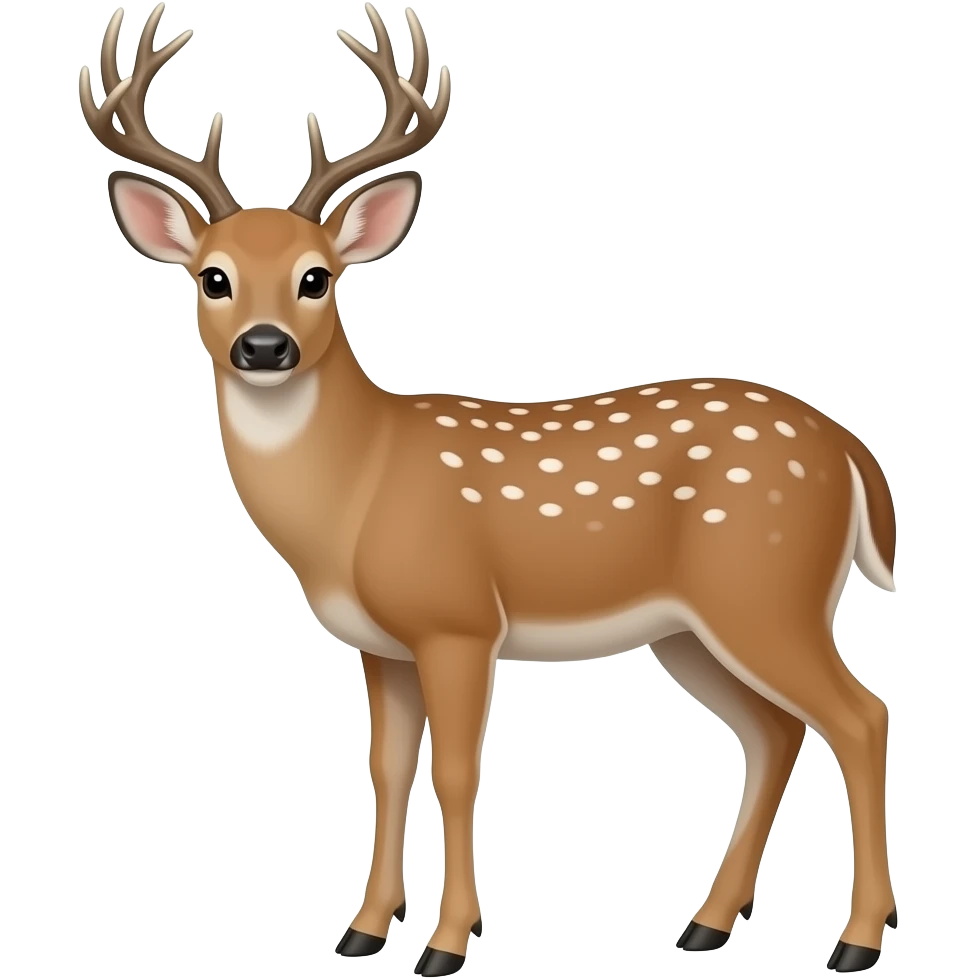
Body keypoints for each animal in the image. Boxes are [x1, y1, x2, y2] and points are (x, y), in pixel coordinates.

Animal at [77, 2, 899, 974]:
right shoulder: (381, 644)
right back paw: (707, 923)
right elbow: (388, 770)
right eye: (214, 277)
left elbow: (459, 771)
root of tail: (848, 449)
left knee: (860, 716)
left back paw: (856, 940)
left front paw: (446, 942)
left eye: (318, 276)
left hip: (766, 588)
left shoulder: (459, 619)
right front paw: (362, 930)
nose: (265, 346)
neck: (355, 491)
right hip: (692, 627)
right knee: (775, 732)